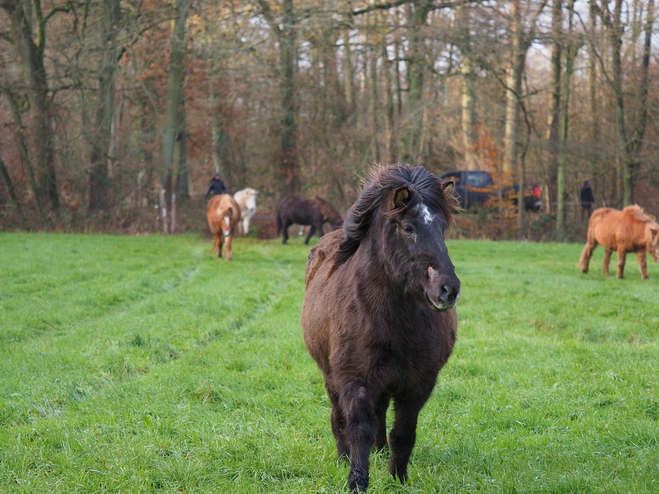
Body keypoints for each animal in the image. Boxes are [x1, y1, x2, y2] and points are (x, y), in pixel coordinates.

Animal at [302, 164, 462, 492]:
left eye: (442, 229)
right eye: (409, 228)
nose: (448, 290)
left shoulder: (418, 383)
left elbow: (403, 433)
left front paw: (398, 478)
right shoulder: (354, 380)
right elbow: (358, 429)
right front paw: (356, 481)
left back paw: (379, 453)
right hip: (332, 377)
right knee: (338, 418)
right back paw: (342, 459)